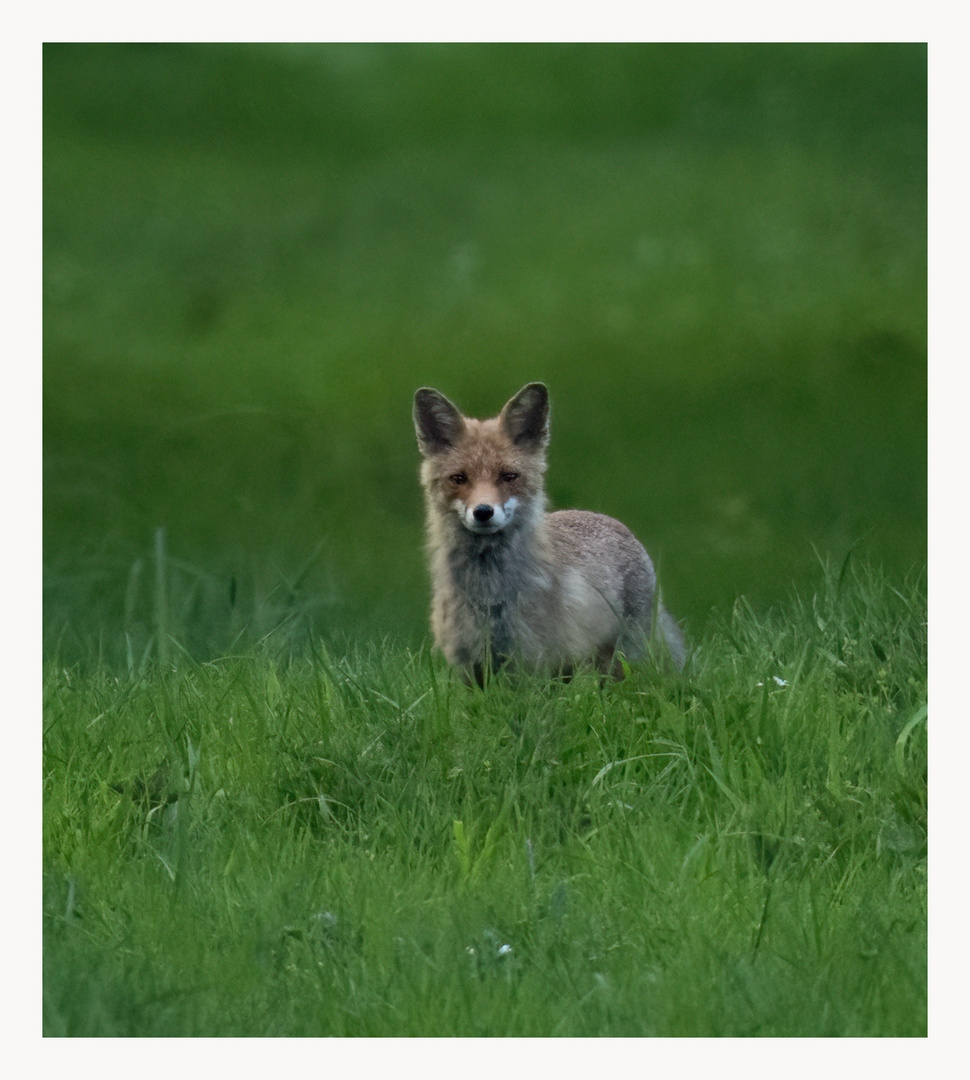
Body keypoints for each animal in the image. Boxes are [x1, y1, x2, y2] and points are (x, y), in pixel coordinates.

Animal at [412, 382, 682, 682]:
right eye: (458, 478)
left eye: (509, 476)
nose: (483, 511)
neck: (489, 597)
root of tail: (614, 522)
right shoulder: (469, 668)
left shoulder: (532, 666)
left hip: (619, 655)